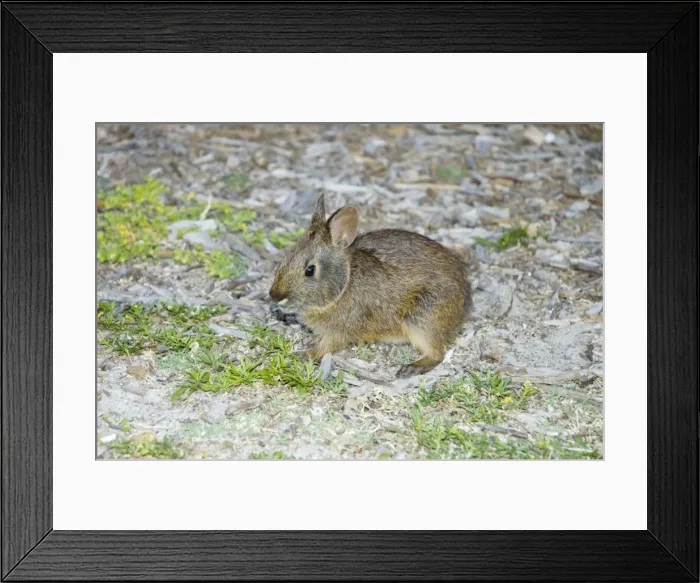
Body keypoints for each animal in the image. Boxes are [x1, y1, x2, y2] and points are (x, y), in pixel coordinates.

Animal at [268, 195, 472, 377]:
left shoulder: (341, 329)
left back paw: (412, 368)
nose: (274, 295)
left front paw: (302, 355)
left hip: (422, 319)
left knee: (437, 353)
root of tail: (464, 308)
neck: (343, 286)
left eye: (310, 270)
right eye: (288, 254)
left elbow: (325, 346)